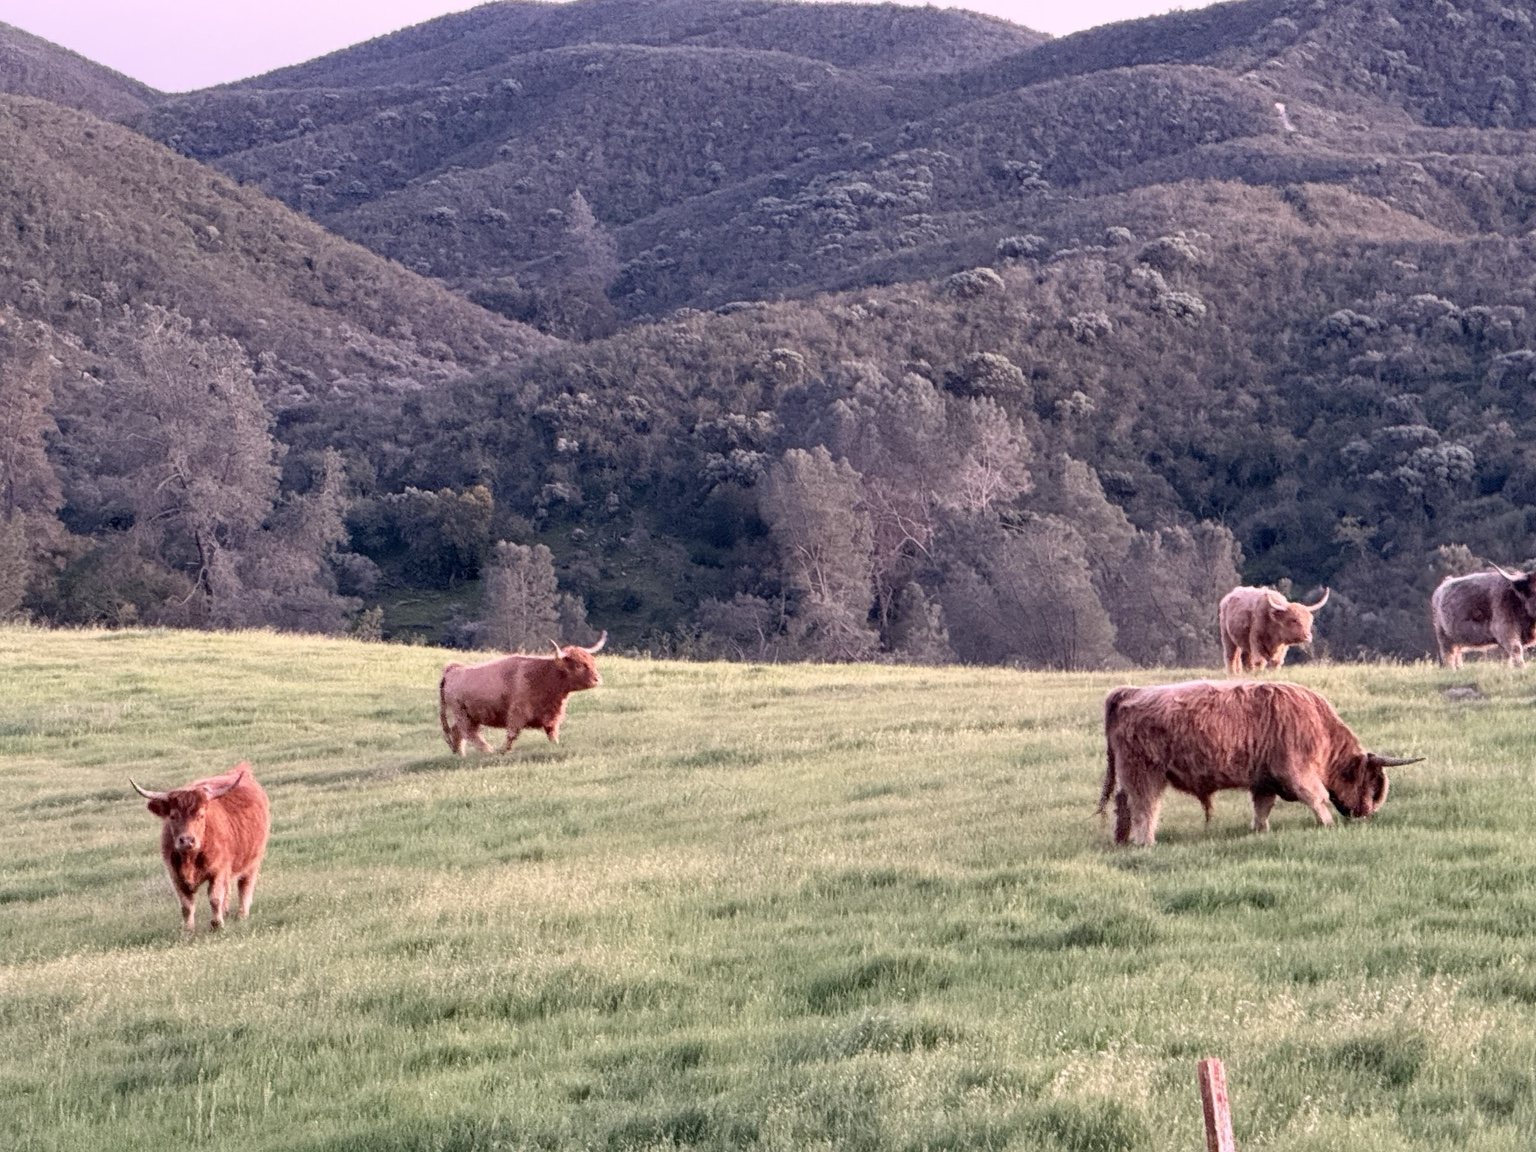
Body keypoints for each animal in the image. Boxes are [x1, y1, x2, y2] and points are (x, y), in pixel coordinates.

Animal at [130, 762, 270, 932]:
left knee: (245, 886)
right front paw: (188, 930)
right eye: (173, 816)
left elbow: (215, 898)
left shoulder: (218, 870)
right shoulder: (175, 875)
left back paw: (242, 915)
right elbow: (186, 905)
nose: (187, 840)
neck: (190, 859)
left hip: (253, 861)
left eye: (201, 815)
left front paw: (217, 925)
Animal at [439, 632, 607, 756]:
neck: (543, 676)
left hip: (470, 716)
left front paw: (556, 745)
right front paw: (503, 751)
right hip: (462, 714)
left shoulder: (551, 717)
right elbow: (512, 734)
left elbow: (552, 733)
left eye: (592, 661)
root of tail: (453, 669)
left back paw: (461, 755)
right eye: (578, 665)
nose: (598, 679)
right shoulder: (517, 713)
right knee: (469, 733)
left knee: (457, 732)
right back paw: (489, 751)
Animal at [1096, 679, 1420, 846]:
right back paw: (1145, 842)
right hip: (1145, 773)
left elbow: (1262, 808)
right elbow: (1318, 797)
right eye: (1372, 784)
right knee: (1144, 807)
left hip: (1129, 774)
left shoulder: (1264, 781)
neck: (1323, 732)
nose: (1365, 814)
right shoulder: (1297, 772)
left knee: (1123, 803)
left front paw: (1260, 831)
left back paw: (1122, 840)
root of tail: (1130, 692)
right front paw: (1327, 824)